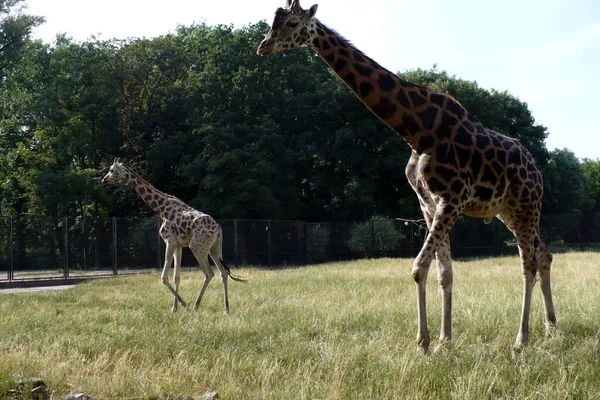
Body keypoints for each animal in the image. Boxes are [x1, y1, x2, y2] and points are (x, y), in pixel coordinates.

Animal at [102, 159, 245, 312]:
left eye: (111, 170)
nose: (104, 179)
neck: (161, 208)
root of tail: (218, 230)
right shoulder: (178, 245)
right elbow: (177, 277)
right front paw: (174, 308)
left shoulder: (169, 242)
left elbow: (164, 277)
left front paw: (184, 305)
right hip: (214, 248)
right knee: (223, 272)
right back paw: (226, 308)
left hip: (197, 247)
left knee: (209, 273)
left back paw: (195, 306)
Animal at [255, 0, 556, 354]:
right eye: (271, 22)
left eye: (290, 23)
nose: (263, 46)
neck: (417, 132)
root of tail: (537, 169)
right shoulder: (428, 203)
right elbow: (444, 271)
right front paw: (444, 340)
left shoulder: (452, 199)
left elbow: (418, 267)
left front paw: (424, 342)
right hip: (506, 211)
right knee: (544, 254)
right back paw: (552, 329)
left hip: (526, 206)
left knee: (528, 263)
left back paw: (521, 340)